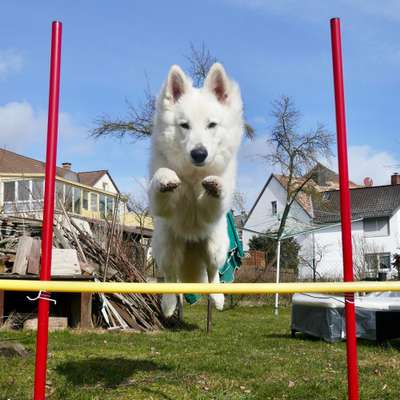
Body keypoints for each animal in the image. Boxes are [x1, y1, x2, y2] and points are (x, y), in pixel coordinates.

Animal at [149, 62, 244, 318]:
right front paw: (167, 178)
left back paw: (218, 298)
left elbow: (215, 192)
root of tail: (191, 243)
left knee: (213, 275)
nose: (199, 154)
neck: (192, 176)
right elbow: (161, 178)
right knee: (171, 278)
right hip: (167, 246)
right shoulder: (162, 206)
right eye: (184, 125)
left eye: (212, 125)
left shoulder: (210, 211)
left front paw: (215, 184)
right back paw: (169, 305)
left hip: (215, 247)